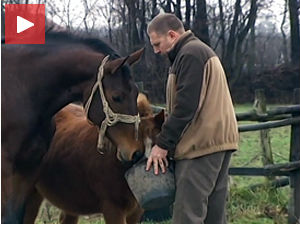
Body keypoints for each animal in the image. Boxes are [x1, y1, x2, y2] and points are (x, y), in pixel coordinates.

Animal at [1, 31, 144, 223]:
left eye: (136, 93)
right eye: (117, 97)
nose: (136, 152)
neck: (20, 88)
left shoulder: (28, 170)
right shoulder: (6, 171)